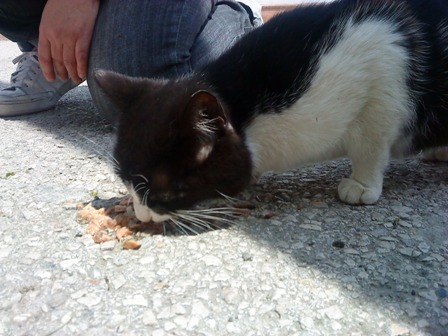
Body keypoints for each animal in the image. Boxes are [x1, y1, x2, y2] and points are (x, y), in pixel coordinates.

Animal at [93, 0, 446, 224]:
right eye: (127, 182)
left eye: (169, 190)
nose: (142, 216)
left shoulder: (381, 63)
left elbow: (371, 141)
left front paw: (361, 184)